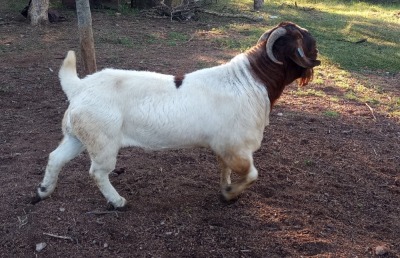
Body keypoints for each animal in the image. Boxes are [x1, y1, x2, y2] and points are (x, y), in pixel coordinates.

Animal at [32, 22, 322, 210]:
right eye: (308, 42)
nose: (317, 58)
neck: (252, 80)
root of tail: (79, 87)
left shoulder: (225, 147)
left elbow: (224, 168)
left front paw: (225, 188)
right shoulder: (238, 147)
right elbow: (251, 175)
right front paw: (229, 194)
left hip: (77, 136)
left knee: (55, 157)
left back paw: (43, 191)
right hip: (103, 142)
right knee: (97, 172)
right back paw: (117, 201)